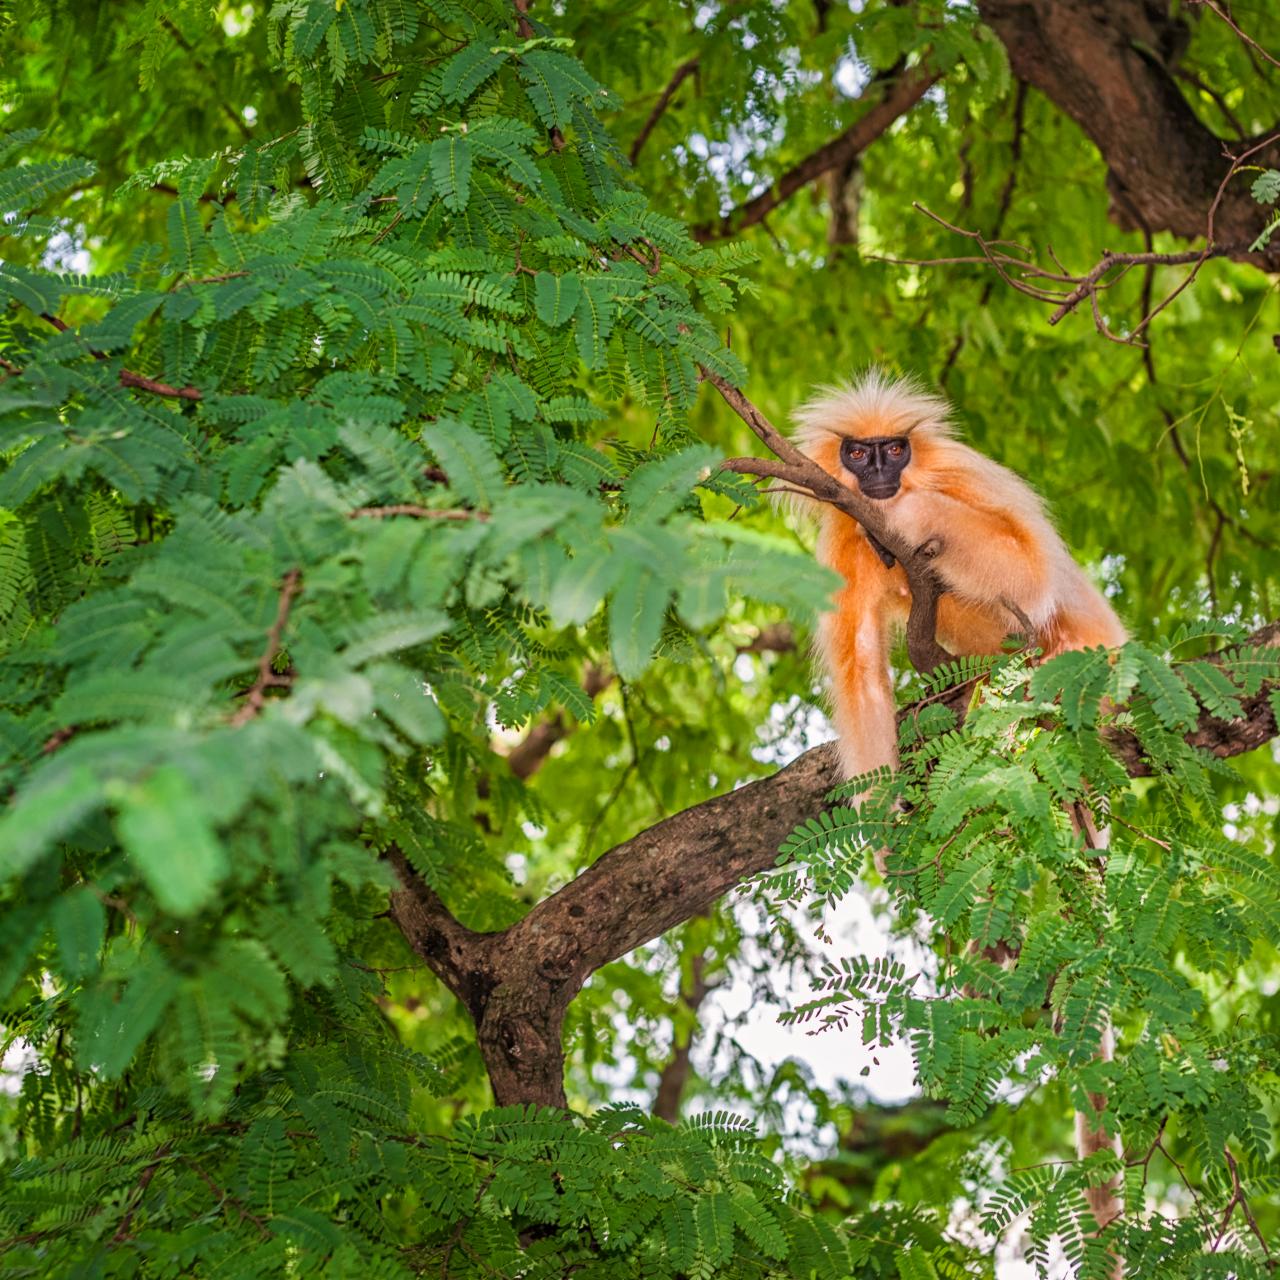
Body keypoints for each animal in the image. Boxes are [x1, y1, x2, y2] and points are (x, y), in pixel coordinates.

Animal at [793, 371, 1126, 778]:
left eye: (895, 450)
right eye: (857, 454)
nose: (879, 472)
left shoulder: (959, 470)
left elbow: (1034, 576)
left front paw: (907, 514)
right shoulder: (842, 542)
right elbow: (861, 677)